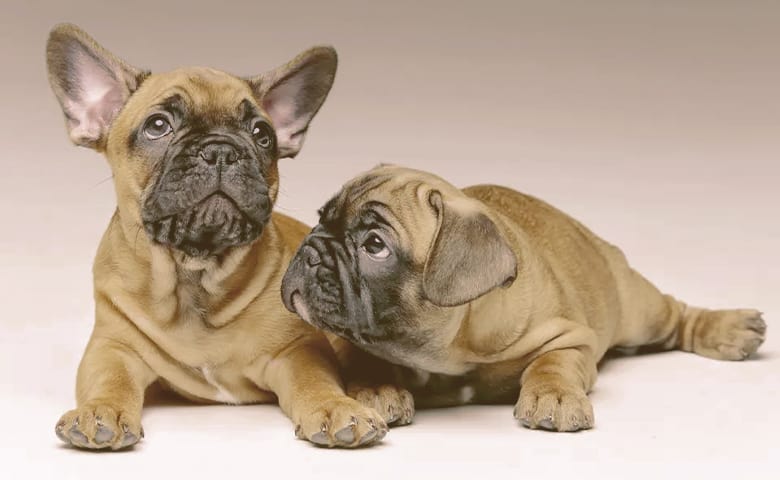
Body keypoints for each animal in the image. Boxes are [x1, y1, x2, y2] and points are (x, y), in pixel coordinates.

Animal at [45, 23, 394, 450]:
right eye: (157, 126)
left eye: (262, 134)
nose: (222, 150)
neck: (195, 274)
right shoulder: (112, 347)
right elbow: (108, 379)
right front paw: (101, 410)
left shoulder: (296, 351)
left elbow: (315, 380)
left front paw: (335, 407)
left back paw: (380, 391)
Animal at [282, 164, 768, 432]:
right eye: (321, 218)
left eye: (375, 245)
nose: (309, 251)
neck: (446, 347)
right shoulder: (344, 335)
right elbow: (363, 357)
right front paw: (378, 386)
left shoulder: (570, 339)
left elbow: (551, 365)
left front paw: (554, 396)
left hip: (637, 309)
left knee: (676, 315)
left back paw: (730, 329)